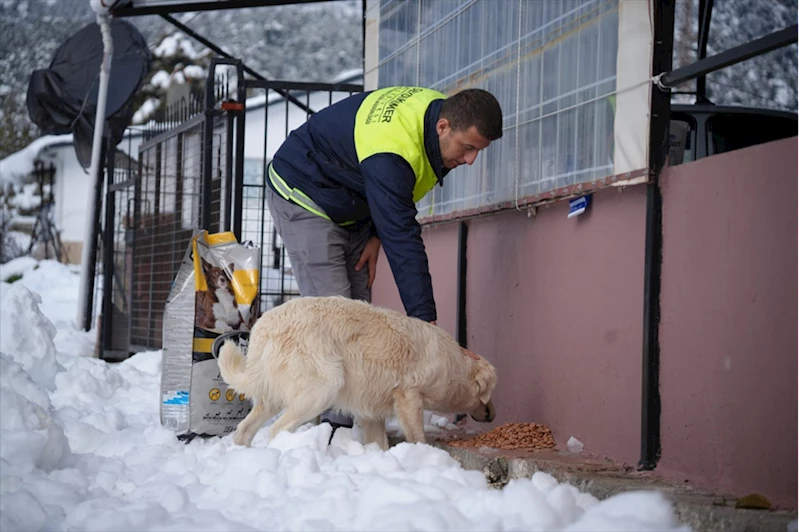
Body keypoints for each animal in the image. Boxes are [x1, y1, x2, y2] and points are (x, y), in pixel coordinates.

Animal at [216, 296, 496, 448]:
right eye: (491, 393)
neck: (453, 363)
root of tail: (262, 327)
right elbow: (417, 435)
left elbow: (379, 442)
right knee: (276, 430)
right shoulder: (409, 396)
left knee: (244, 430)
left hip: (272, 396)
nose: (493, 414)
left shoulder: (371, 410)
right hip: (324, 386)